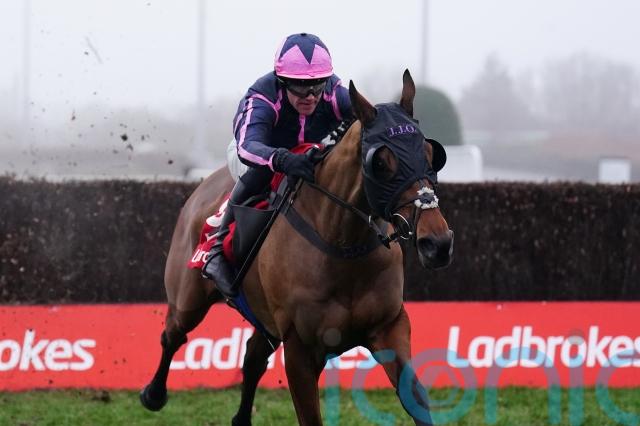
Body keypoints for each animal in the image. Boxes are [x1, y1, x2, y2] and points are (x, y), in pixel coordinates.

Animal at [141, 70, 454, 426]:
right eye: (381, 162)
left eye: (431, 154)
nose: (437, 243)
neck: (342, 246)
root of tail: (200, 189)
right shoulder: (300, 349)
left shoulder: (389, 327)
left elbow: (416, 399)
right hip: (189, 297)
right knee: (173, 335)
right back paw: (153, 394)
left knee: (252, 357)